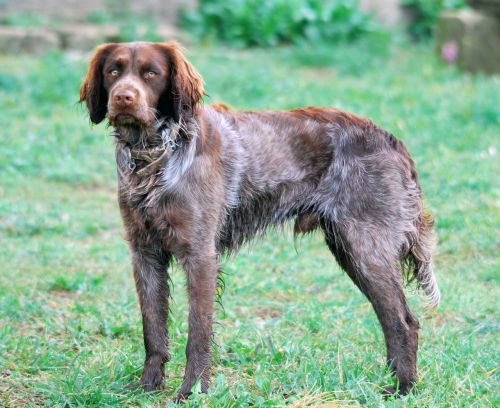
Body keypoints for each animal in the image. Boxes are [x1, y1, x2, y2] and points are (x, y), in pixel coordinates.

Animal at [80, 42, 440, 402]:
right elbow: (153, 330)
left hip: (366, 248)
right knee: (392, 318)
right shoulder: (145, 253)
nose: (124, 97)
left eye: (151, 73)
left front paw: (192, 391)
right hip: (350, 251)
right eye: (114, 71)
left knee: (404, 322)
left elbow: (198, 334)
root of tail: (392, 140)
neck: (154, 158)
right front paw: (148, 386)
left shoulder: (200, 256)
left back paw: (402, 388)